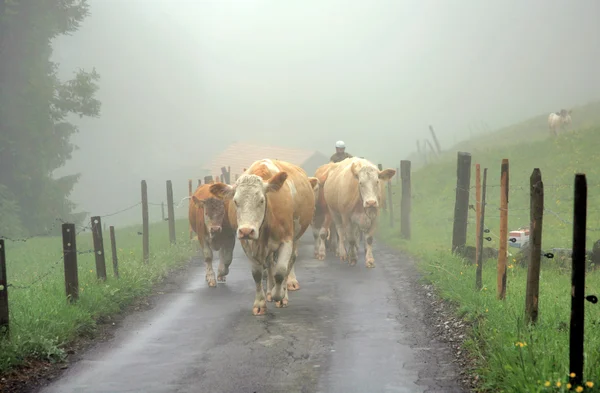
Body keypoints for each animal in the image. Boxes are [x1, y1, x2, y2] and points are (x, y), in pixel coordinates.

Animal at [210, 158, 318, 314]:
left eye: (261, 200)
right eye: (235, 201)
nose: (246, 231)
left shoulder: (286, 240)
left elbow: (281, 271)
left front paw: (279, 295)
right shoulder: (247, 245)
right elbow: (257, 274)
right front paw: (260, 303)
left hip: (295, 237)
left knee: (289, 262)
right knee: (270, 264)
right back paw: (269, 291)